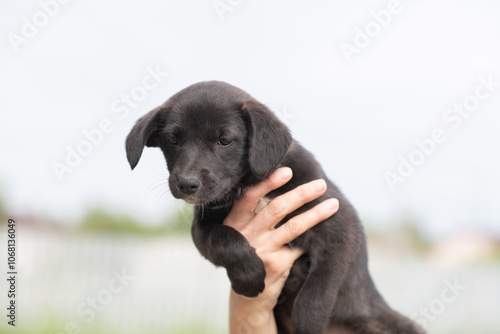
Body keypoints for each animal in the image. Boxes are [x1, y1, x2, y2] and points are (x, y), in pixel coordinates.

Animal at [125, 81, 422, 334]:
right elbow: (226, 240)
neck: (250, 183)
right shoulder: (202, 229)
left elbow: (317, 290)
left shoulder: (339, 225)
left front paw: (308, 323)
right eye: (173, 140)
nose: (187, 184)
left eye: (224, 140)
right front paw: (250, 278)